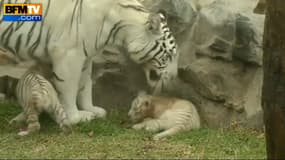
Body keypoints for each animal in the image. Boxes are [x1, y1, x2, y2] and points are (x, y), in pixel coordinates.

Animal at [0, 0, 178, 125]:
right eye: (169, 55)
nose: (175, 76)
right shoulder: (68, 54)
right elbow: (69, 88)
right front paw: (75, 117)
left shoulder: (85, 56)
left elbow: (85, 85)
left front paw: (91, 110)